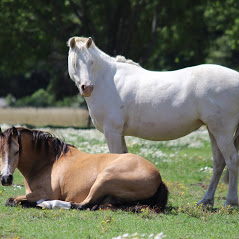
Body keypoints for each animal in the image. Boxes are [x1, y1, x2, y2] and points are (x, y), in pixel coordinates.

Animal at [0, 127, 168, 211]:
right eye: (0, 150)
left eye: (17, 151)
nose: (5, 178)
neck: (48, 162)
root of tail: (158, 179)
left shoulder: (46, 192)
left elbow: (10, 200)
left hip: (104, 179)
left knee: (83, 204)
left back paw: (48, 204)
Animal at [67, 36, 239, 206]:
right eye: (75, 63)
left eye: (91, 62)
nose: (87, 87)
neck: (107, 81)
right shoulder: (120, 134)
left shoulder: (112, 131)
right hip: (213, 130)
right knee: (219, 163)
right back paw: (206, 201)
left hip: (223, 132)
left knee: (232, 161)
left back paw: (230, 202)